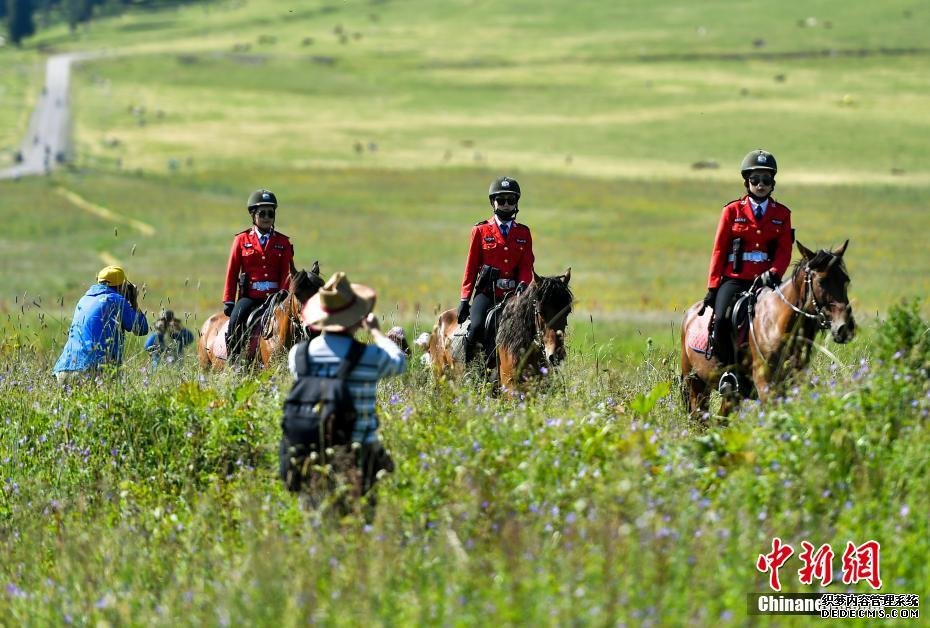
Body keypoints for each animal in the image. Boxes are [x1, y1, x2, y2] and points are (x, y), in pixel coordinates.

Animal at [676, 240, 852, 422]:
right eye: (821, 281)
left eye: (846, 280)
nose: (844, 327)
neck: (777, 326)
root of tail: (689, 314)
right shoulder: (765, 386)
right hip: (696, 384)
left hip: (732, 395)